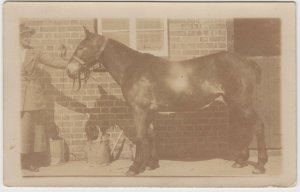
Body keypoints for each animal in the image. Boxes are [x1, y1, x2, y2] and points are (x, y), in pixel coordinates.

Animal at [65, 26, 268, 176]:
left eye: (82, 47)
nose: (69, 70)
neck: (133, 68)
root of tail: (246, 61)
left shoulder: (139, 110)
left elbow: (140, 136)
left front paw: (134, 168)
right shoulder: (149, 111)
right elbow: (151, 135)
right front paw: (150, 164)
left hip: (241, 102)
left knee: (258, 126)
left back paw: (260, 165)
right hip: (234, 103)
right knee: (244, 127)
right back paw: (240, 162)